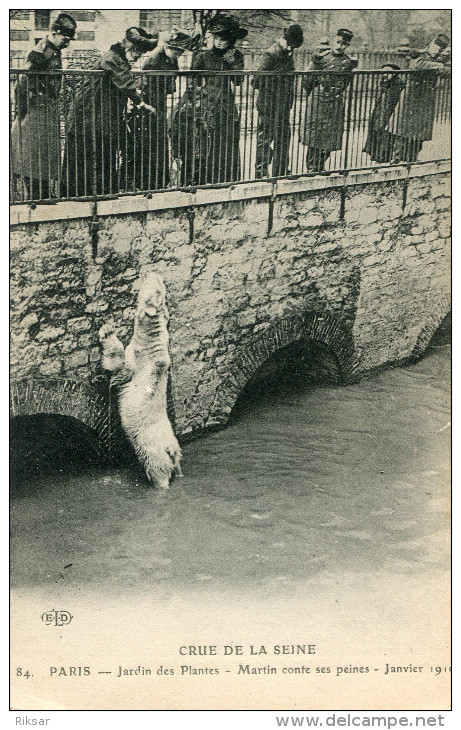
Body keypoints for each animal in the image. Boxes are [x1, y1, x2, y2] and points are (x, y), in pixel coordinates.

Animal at [99, 272, 181, 490]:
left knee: (157, 469)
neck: (150, 339)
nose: (152, 272)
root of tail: (171, 449)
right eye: (162, 285)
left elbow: (119, 365)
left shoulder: (139, 360)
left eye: (156, 288)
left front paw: (107, 330)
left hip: (153, 449)